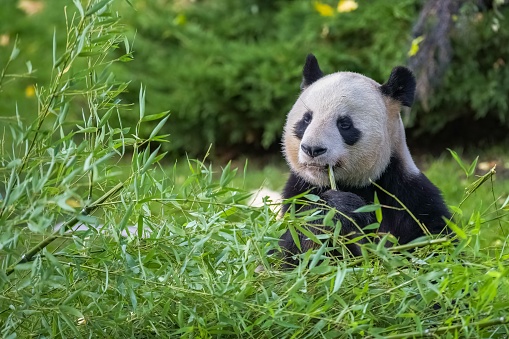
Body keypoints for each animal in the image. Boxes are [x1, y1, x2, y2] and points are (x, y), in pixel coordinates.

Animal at [278, 54, 448, 268]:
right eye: (306, 119)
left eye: (344, 124)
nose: (312, 149)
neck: (352, 185)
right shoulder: (298, 192)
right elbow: (290, 251)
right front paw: (337, 208)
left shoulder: (406, 194)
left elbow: (437, 242)